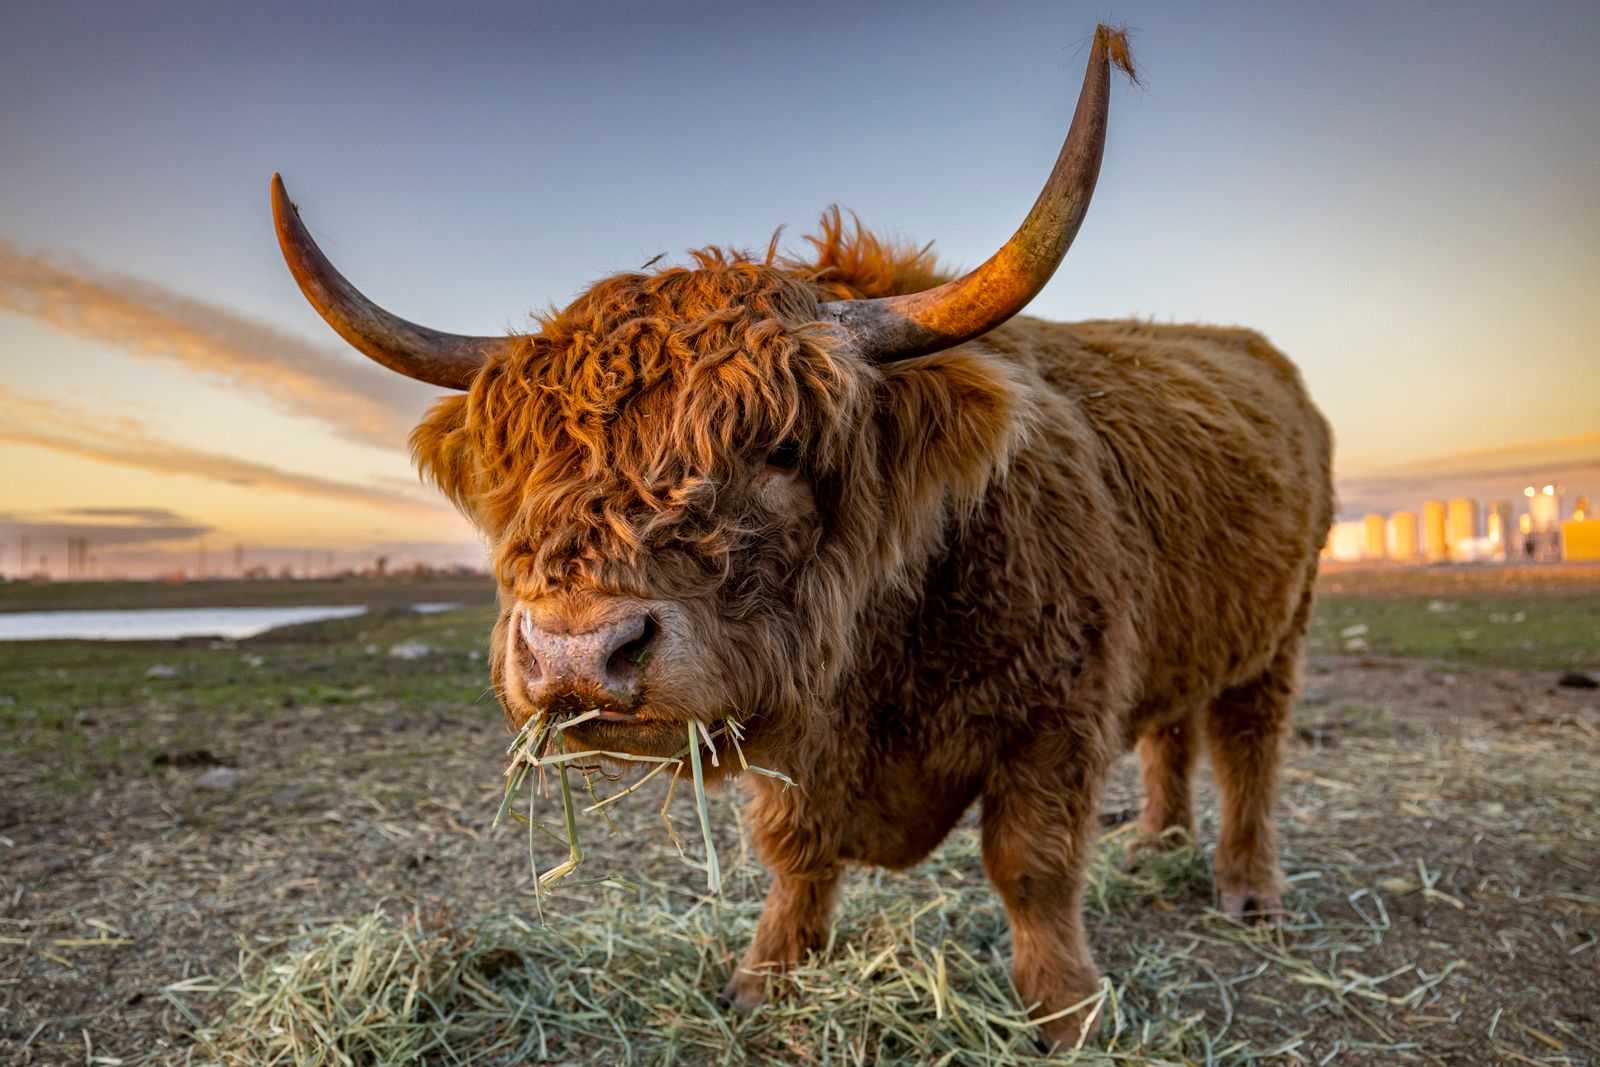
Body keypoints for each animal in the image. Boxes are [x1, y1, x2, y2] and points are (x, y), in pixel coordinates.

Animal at [270, 26, 1332, 1049]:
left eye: (780, 447)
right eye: (527, 463)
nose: (575, 652)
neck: (883, 643)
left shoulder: (1057, 714)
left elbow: (1032, 867)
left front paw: (1067, 1013)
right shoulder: (798, 745)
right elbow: (797, 853)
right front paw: (764, 978)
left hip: (1282, 632)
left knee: (1247, 746)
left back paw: (1246, 887)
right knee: (1171, 732)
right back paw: (1155, 841)